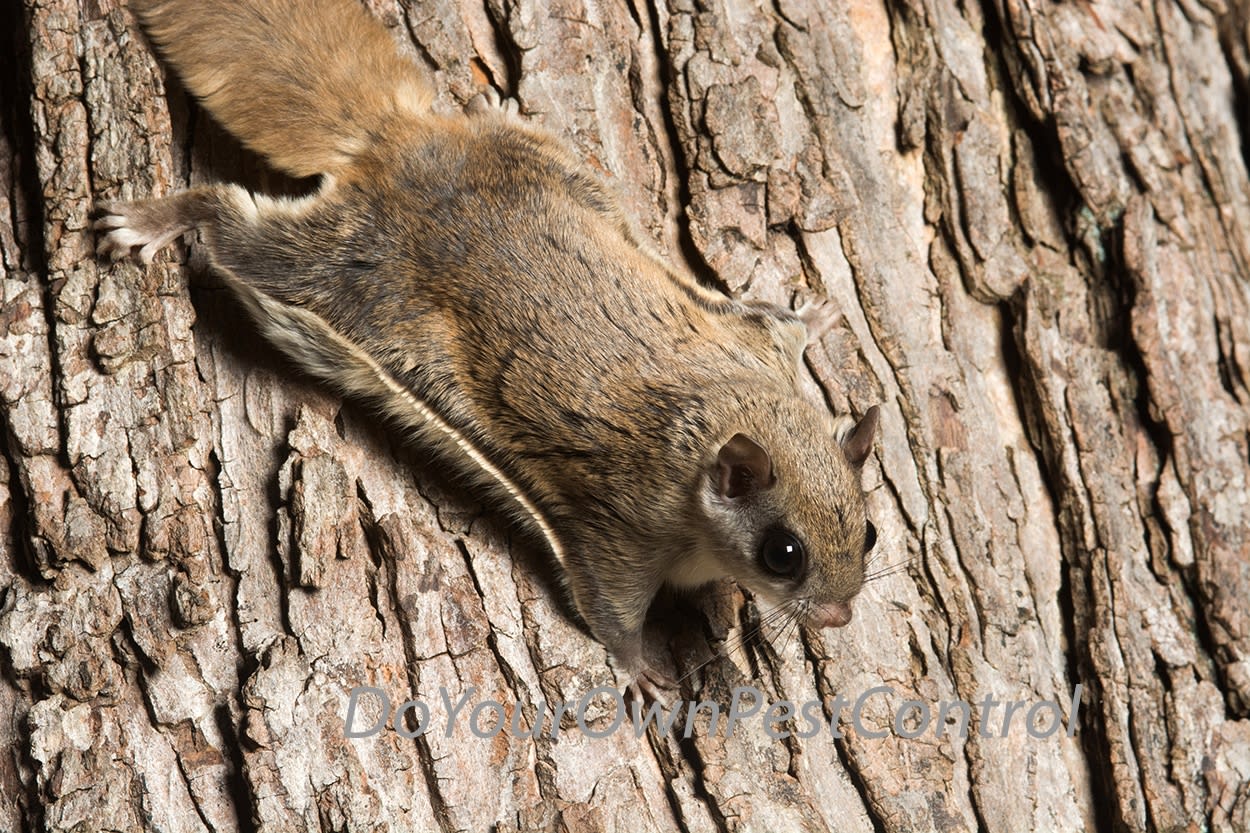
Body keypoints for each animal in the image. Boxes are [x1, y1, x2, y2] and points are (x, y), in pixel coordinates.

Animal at [95, 0, 880, 695]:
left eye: (869, 534)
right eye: (783, 554)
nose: (840, 617)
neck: (720, 418)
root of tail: (391, 142)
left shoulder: (751, 346)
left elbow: (774, 324)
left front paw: (814, 316)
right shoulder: (622, 525)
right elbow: (609, 607)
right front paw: (641, 669)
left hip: (542, 160)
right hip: (333, 270)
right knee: (230, 222)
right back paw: (159, 219)